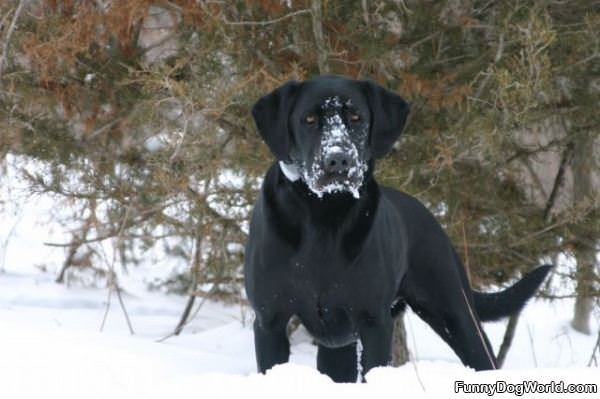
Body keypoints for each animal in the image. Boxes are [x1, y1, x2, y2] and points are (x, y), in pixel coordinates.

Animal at [243, 76, 548, 384]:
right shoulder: (270, 321)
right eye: (309, 119)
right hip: (337, 345)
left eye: (356, 117)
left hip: (456, 313)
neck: (323, 216)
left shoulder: (374, 321)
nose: (338, 160)